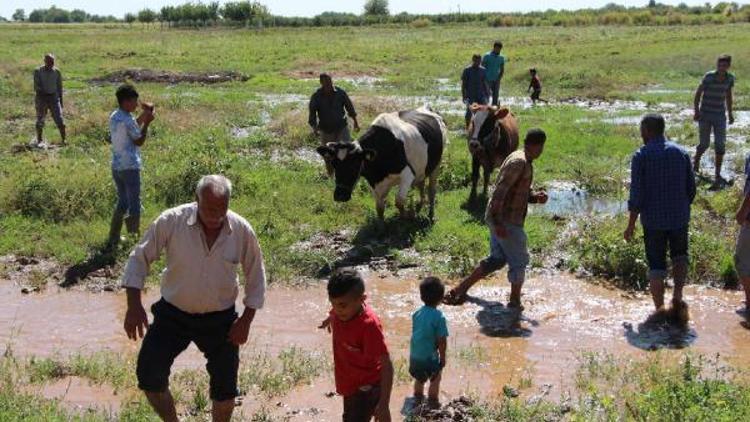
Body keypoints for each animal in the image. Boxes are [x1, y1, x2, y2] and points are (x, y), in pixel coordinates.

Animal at [316, 105, 446, 219]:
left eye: (354, 165)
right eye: (334, 164)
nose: (340, 196)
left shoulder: (407, 174)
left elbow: (399, 201)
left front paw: (407, 216)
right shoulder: (374, 182)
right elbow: (379, 207)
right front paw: (381, 227)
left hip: (437, 164)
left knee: (432, 190)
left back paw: (430, 214)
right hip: (421, 168)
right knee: (421, 184)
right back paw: (420, 205)